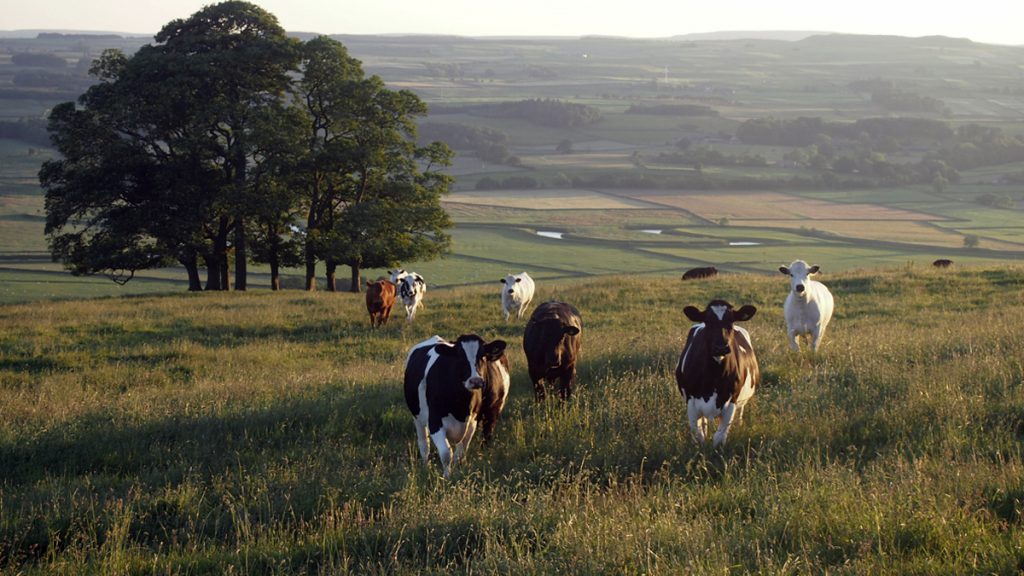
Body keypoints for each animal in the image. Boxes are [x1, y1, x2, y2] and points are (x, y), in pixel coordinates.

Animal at [401, 332, 509, 475]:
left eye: (482, 355)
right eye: (460, 356)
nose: (475, 381)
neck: (460, 405)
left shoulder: (472, 422)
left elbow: (460, 453)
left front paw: (458, 472)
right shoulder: (435, 422)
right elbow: (446, 454)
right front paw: (446, 476)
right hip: (417, 417)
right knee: (424, 444)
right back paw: (425, 466)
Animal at [671, 297, 761, 446]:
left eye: (731, 321)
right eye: (708, 321)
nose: (721, 347)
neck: (713, 377)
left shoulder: (731, 402)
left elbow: (719, 437)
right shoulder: (691, 402)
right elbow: (699, 436)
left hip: (742, 402)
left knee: (740, 414)